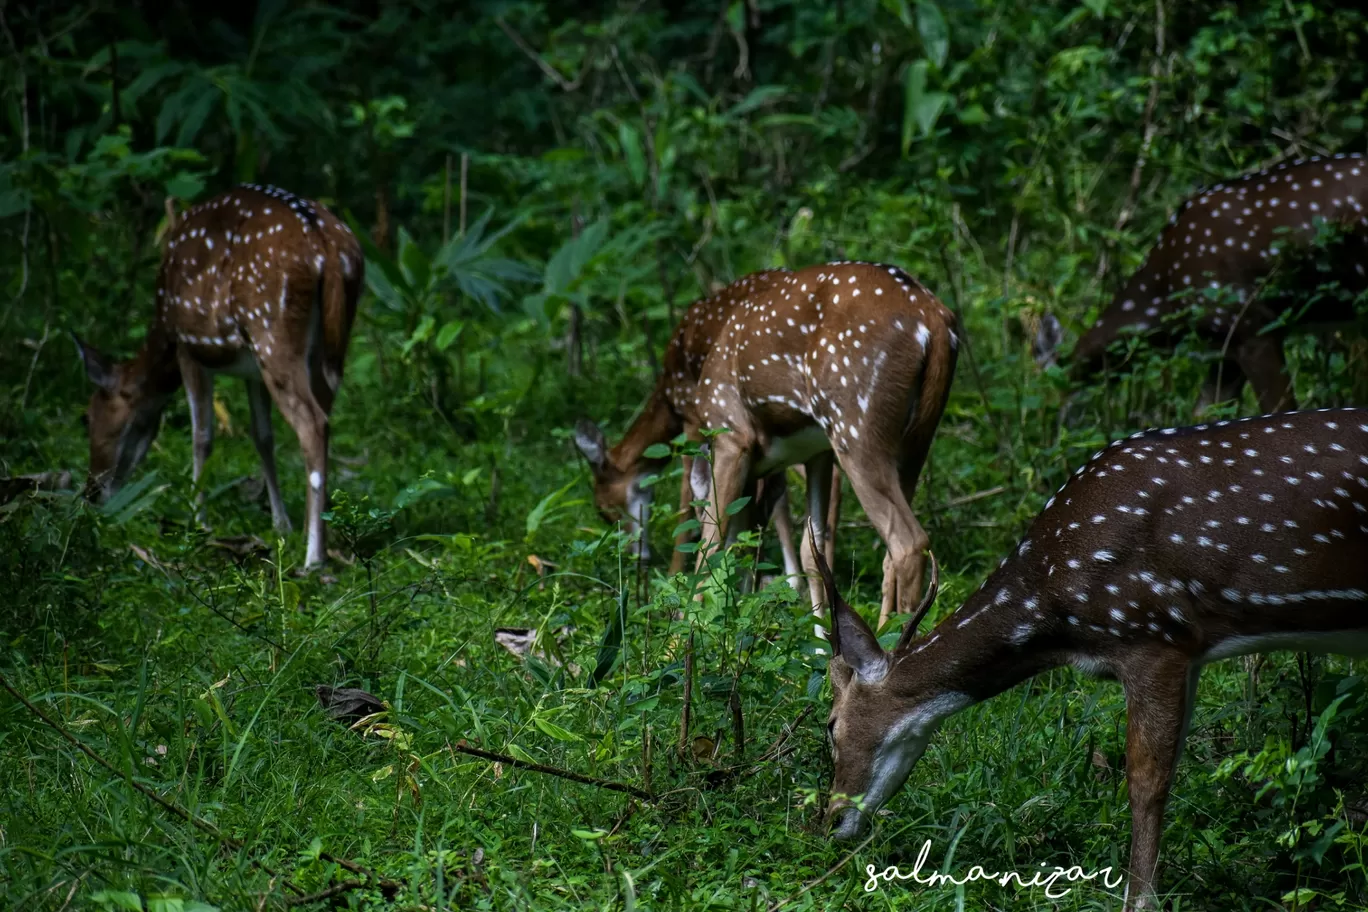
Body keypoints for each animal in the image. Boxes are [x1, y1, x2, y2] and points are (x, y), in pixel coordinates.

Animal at [72, 184, 363, 566]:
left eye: (90, 417)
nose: (91, 491)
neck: (161, 331)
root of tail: (325, 247)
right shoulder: (251, 372)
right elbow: (262, 436)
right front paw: (281, 523)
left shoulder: (189, 346)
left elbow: (202, 436)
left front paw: (199, 521)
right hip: (329, 346)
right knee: (325, 417)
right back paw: (319, 533)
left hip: (271, 330)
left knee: (313, 423)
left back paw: (313, 558)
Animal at [577, 258, 963, 628]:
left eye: (604, 509)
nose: (636, 559)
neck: (668, 394)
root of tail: (935, 319)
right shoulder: (812, 453)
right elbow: (794, 544)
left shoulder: (725, 432)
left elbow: (707, 533)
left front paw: (682, 622)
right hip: (914, 442)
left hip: (854, 421)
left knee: (906, 542)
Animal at [815, 410, 1368, 907]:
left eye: (831, 723)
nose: (829, 820)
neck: (1059, 616)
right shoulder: (1190, 652)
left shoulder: (1152, 632)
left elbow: (1145, 782)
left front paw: (1140, 900)